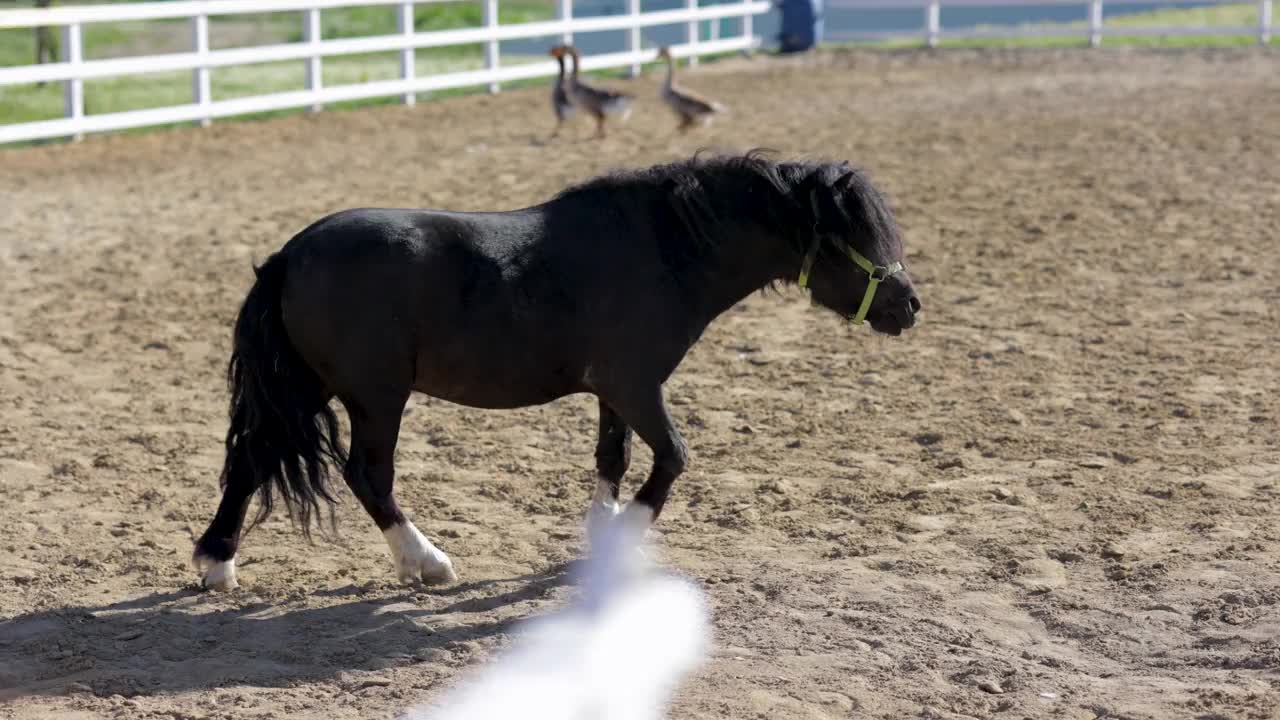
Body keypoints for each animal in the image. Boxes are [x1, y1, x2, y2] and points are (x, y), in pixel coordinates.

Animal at [189, 149, 921, 589]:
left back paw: (217, 562)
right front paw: (623, 537)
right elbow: (672, 458)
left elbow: (612, 459)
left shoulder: (613, 391)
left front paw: (602, 542)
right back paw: (427, 562)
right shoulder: (636, 384)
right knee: (367, 477)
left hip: (307, 388)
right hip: (375, 396)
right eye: (851, 236)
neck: (659, 249)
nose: (909, 306)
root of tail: (288, 256)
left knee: (252, 458)